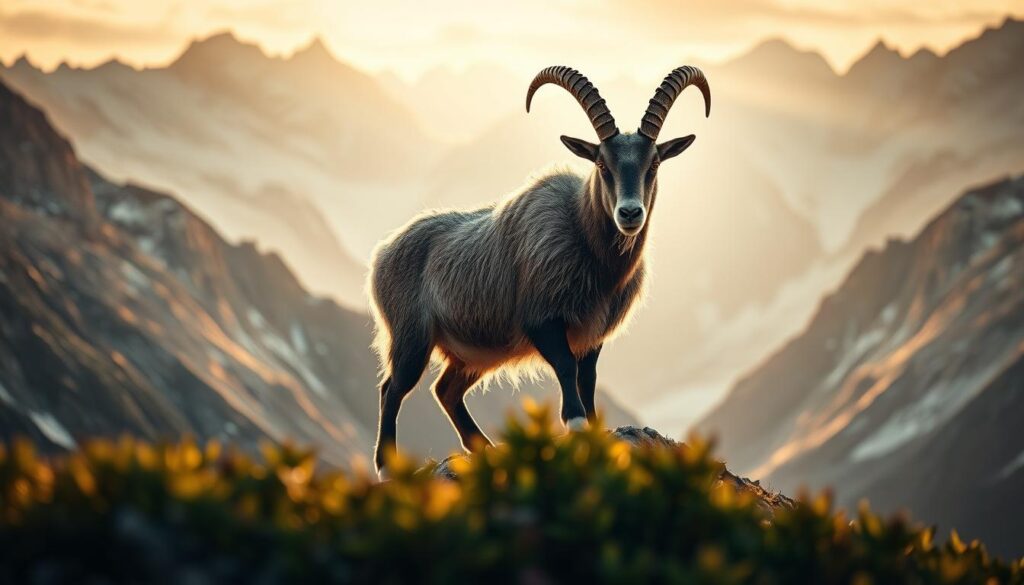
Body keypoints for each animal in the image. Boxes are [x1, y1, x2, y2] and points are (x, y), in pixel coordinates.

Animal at [369, 66, 711, 476]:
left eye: (654, 163)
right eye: (602, 164)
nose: (629, 213)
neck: (584, 239)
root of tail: (383, 254)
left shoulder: (591, 335)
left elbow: (588, 378)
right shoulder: (542, 321)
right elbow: (566, 367)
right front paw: (575, 424)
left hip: (473, 353)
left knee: (446, 390)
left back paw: (486, 448)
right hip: (412, 337)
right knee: (393, 388)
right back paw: (386, 467)